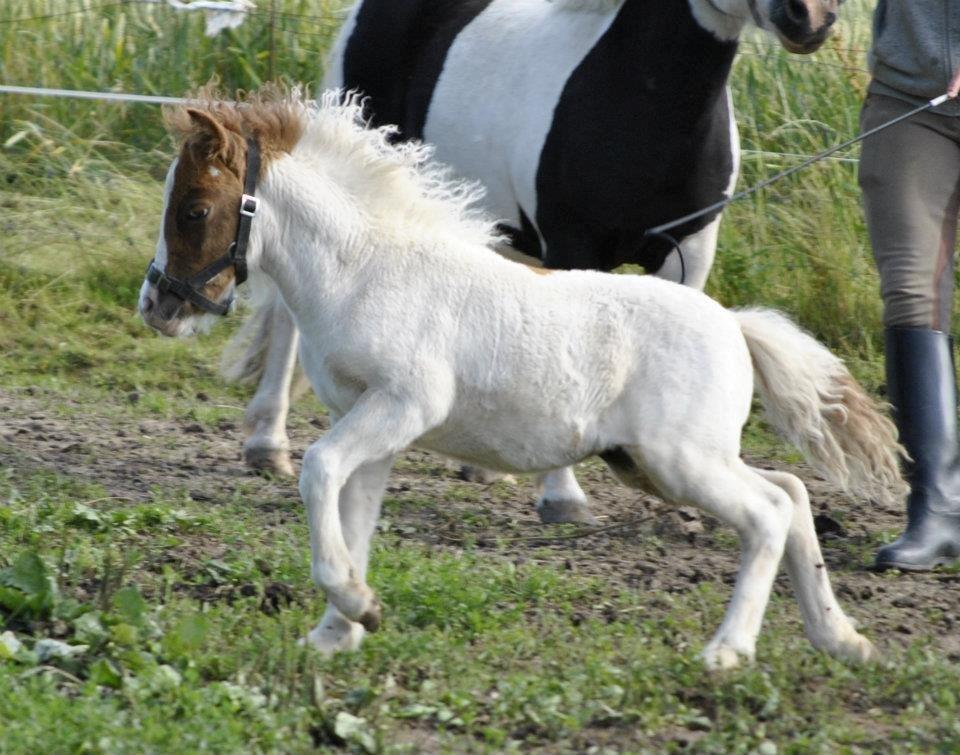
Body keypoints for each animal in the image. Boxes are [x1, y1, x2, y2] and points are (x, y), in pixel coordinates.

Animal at [139, 85, 904, 672]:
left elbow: (318, 471)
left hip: (679, 460)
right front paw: (340, 630)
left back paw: (727, 652)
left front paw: (355, 606)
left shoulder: (405, 405)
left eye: (195, 210)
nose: (157, 306)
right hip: (660, 462)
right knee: (793, 492)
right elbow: (352, 513)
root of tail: (735, 326)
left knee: (769, 511)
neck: (364, 268)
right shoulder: (370, 422)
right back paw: (842, 639)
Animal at [232, 0, 840, 524]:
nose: (810, 17)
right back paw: (267, 445)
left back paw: (479, 468)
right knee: (288, 312)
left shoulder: (688, 253)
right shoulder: (572, 244)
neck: (640, 104)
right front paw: (563, 499)